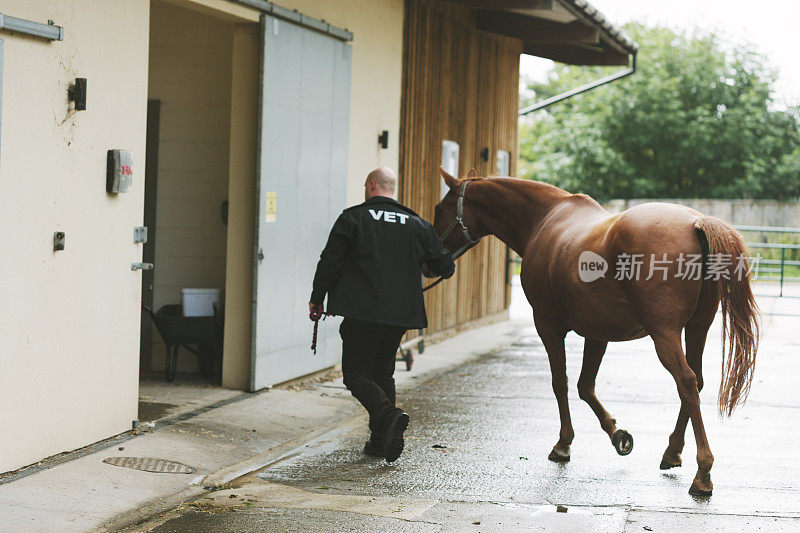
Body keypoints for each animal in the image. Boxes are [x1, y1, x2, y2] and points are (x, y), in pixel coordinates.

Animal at [434, 167, 760, 494]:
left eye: (439, 209)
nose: (434, 260)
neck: (544, 218)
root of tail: (696, 223)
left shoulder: (547, 325)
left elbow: (561, 383)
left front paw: (564, 444)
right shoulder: (597, 332)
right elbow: (585, 386)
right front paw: (618, 436)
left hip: (664, 333)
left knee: (686, 382)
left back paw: (702, 472)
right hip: (697, 327)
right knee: (697, 381)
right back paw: (672, 452)